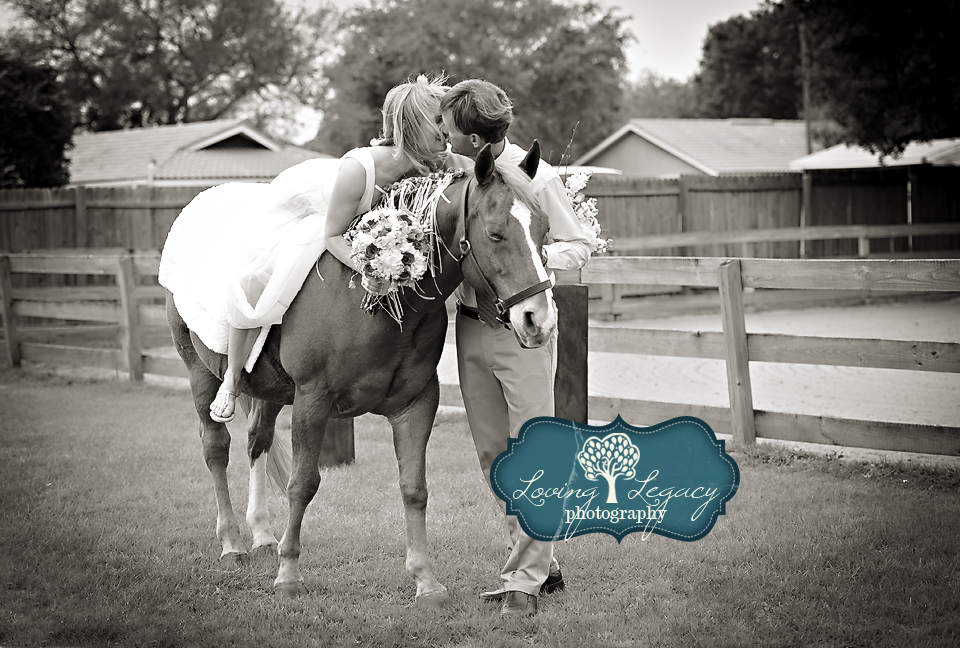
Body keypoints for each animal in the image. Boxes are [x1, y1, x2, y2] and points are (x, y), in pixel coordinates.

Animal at [165, 143, 556, 608]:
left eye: (544, 231)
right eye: (496, 234)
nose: (538, 320)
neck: (374, 300)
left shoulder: (416, 405)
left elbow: (414, 488)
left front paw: (426, 581)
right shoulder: (312, 401)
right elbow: (303, 484)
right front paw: (289, 576)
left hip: (270, 392)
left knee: (256, 442)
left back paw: (260, 534)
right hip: (200, 374)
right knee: (216, 450)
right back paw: (231, 544)